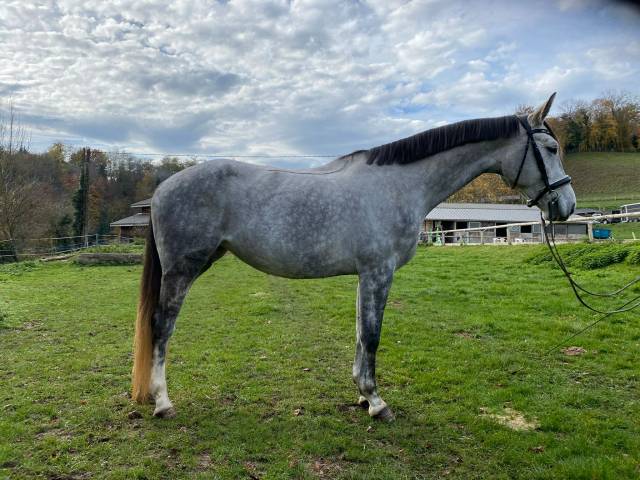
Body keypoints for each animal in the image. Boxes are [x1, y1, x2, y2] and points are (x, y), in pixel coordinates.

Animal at [132, 93, 576, 421]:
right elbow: (373, 335)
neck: (400, 184)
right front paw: (378, 404)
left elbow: (362, 333)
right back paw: (163, 402)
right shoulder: (379, 272)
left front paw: (363, 396)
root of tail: (163, 188)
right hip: (183, 270)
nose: (566, 205)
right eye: (551, 147)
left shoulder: (366, 275)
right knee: (161, 327)